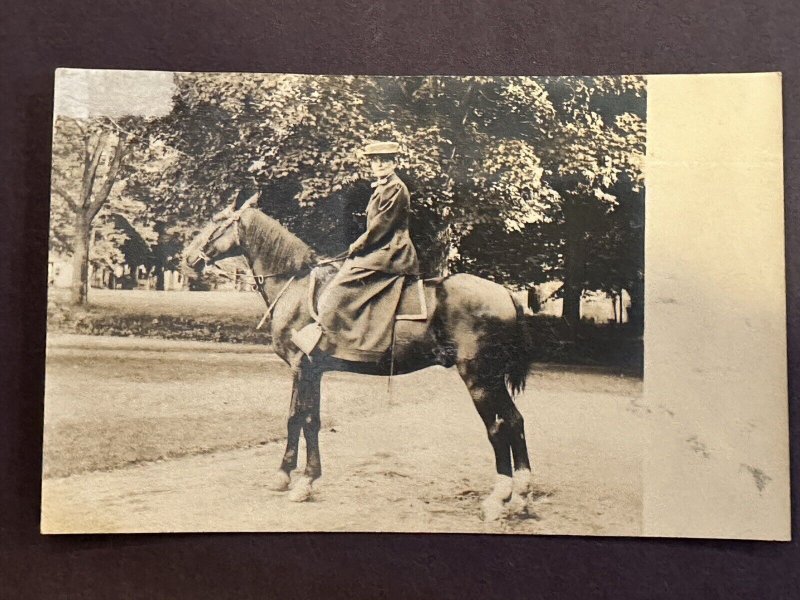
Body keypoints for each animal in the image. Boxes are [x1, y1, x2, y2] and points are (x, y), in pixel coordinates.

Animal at [184, 196, 536, 520]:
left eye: (217, 221)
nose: (187, 257)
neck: (296, 284)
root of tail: (507, 294)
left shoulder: (303, 366)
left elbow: (304, 419)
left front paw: (304, 482)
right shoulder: (313, 370)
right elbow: (301, 419)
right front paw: (286, 475)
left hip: (480, 377)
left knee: (498, 426)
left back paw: (498, 498)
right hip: (491, 379)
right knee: (516, 420)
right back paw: (521, 496)